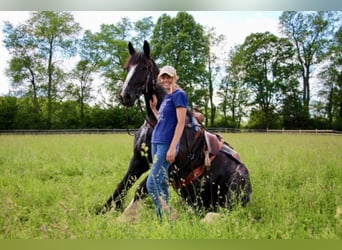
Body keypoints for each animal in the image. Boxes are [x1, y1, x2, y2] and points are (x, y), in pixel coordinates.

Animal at [96, 40, 251, 215]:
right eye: (126, 68)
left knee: (227, 211)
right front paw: (102, 211)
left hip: (236, 185)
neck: (155, 123)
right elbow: (122, 186)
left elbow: (142, 188)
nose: (125, 96)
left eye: (144, 68)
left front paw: (125, 215)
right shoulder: (138, 161)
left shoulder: (169, 168)